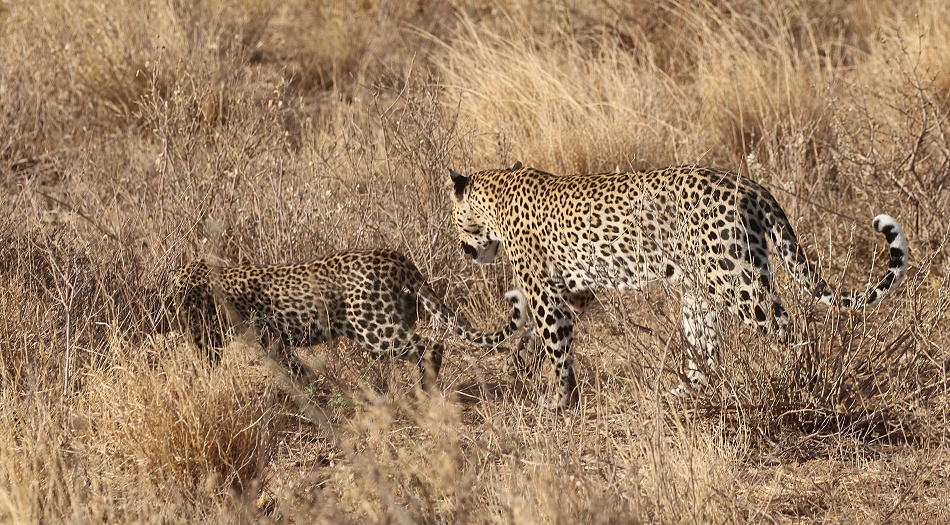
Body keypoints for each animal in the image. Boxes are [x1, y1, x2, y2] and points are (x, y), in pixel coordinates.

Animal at [162, 249, 528, 390]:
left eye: (184, 298)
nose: (174, 311)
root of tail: (392, 255)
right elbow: (295, 368)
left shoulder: (251, 339)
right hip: (397, 319)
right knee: (421, 347)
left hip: (375, 328)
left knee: (429, 345)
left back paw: (426, 389)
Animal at [449, 163, 909, 409]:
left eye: (453, 219)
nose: (464, 251)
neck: (495, 199)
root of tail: (750, 184)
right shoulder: (574, 292)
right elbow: (535, 332)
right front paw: (519, 364)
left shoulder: (546, 292)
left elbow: (555, 346)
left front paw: (559, 401)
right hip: (700, 289)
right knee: (705, 351)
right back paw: (682, 392)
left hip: (735, 278)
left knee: (788, 329)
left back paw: (800, 380)